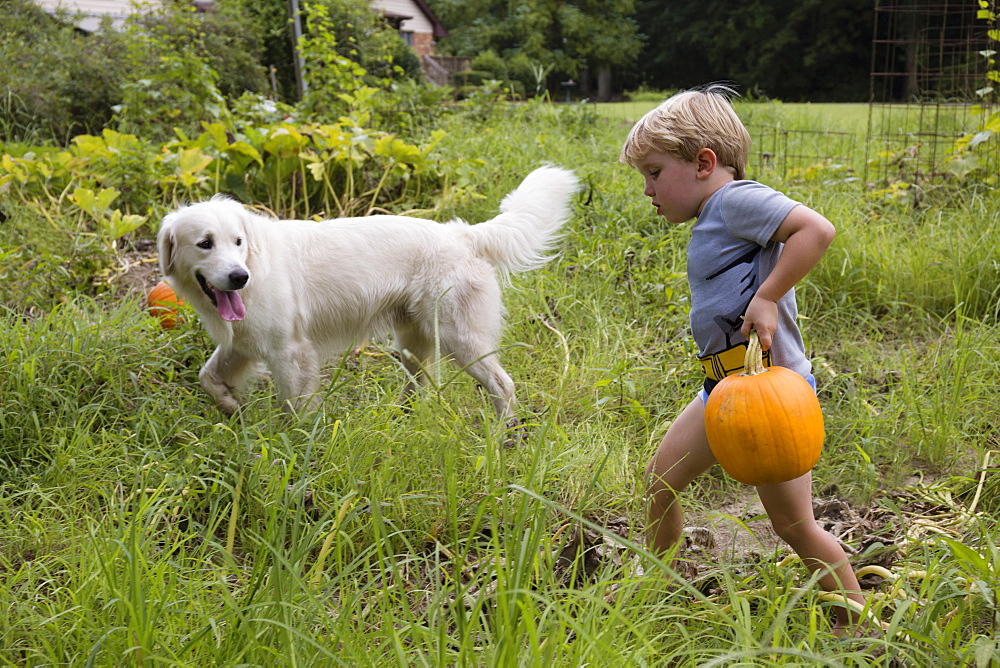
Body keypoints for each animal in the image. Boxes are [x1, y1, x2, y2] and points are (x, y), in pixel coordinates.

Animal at [156, 166, 580, 418]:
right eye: (205, 244)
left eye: (238, 242)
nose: (239, 277)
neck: (258, 264)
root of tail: (463, 233)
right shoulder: (241, 344)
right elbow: (206, 376)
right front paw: (230, 404)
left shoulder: (290, 352)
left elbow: (294, 408)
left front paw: (292, 449)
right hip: (412, 344)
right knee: (420, 387)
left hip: (461, 339)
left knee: (503, 385)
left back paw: (502, 436)